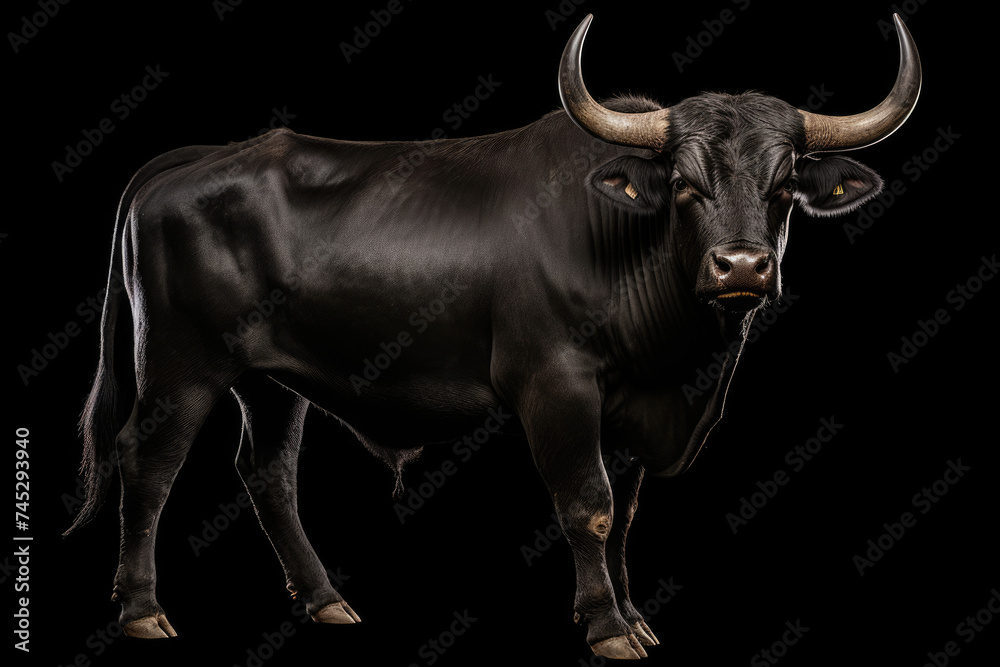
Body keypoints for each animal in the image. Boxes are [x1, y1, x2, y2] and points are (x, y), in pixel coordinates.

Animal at [65, 13, 920, 659]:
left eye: (784, 186)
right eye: (683, 183)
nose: (741, 265)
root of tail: (192, 158)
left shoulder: (630, 406)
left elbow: (625, 511)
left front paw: (630, 613)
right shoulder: (557, 386)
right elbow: (589, 503)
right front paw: (606, 626)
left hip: (270, 379)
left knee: (266, 473)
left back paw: (325, 597)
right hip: (181, 365)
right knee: (148, 462)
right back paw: (143, 608)